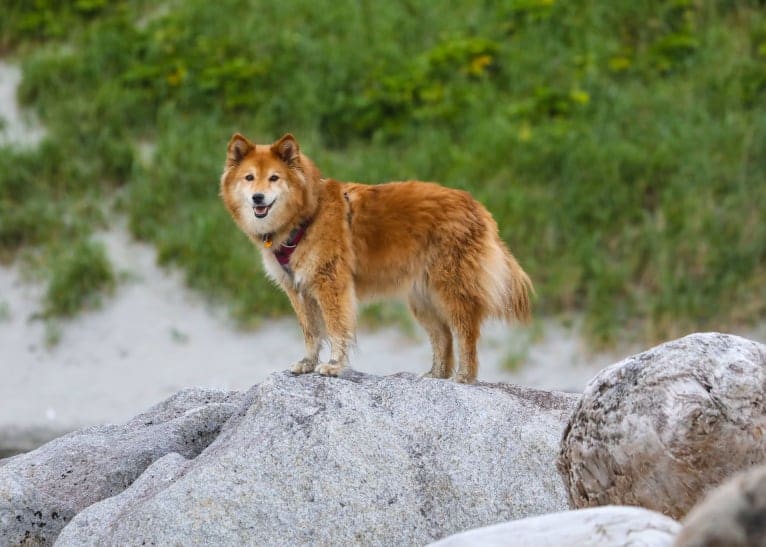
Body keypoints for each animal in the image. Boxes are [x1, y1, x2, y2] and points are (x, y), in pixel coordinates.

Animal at [222, 133, 536, 384]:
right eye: (249, 178)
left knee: (464, 334)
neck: (306, 216)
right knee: (443, 337)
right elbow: (311, 332)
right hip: (422, 299)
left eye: (274, 178)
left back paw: (463, 378)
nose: (258, 198)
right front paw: (307, 363)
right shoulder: (298, 291)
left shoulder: (331, 284)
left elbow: (336, 329)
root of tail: (478, 208)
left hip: (451, 291)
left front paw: (334, 366)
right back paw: (435, 375)